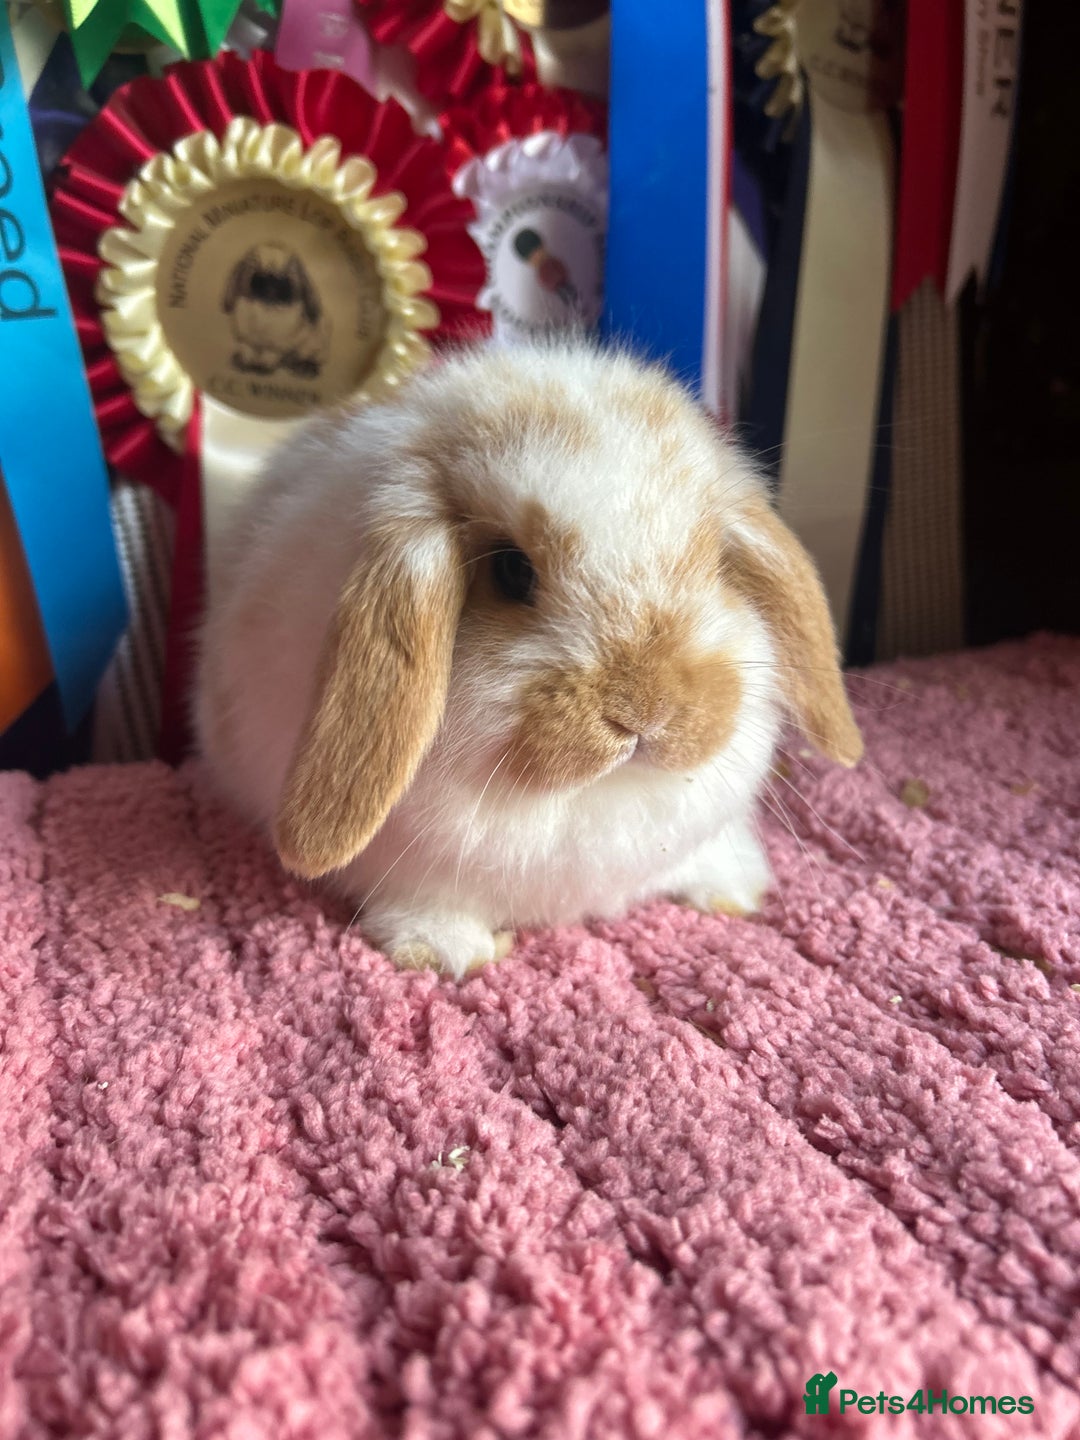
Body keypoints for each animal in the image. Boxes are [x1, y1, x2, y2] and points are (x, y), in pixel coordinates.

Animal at [195, 340, 862, 977]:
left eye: (716, 562)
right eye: (512, 571)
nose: (644, 712)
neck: (598, 795)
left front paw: (733, 889)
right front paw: (443, 950)